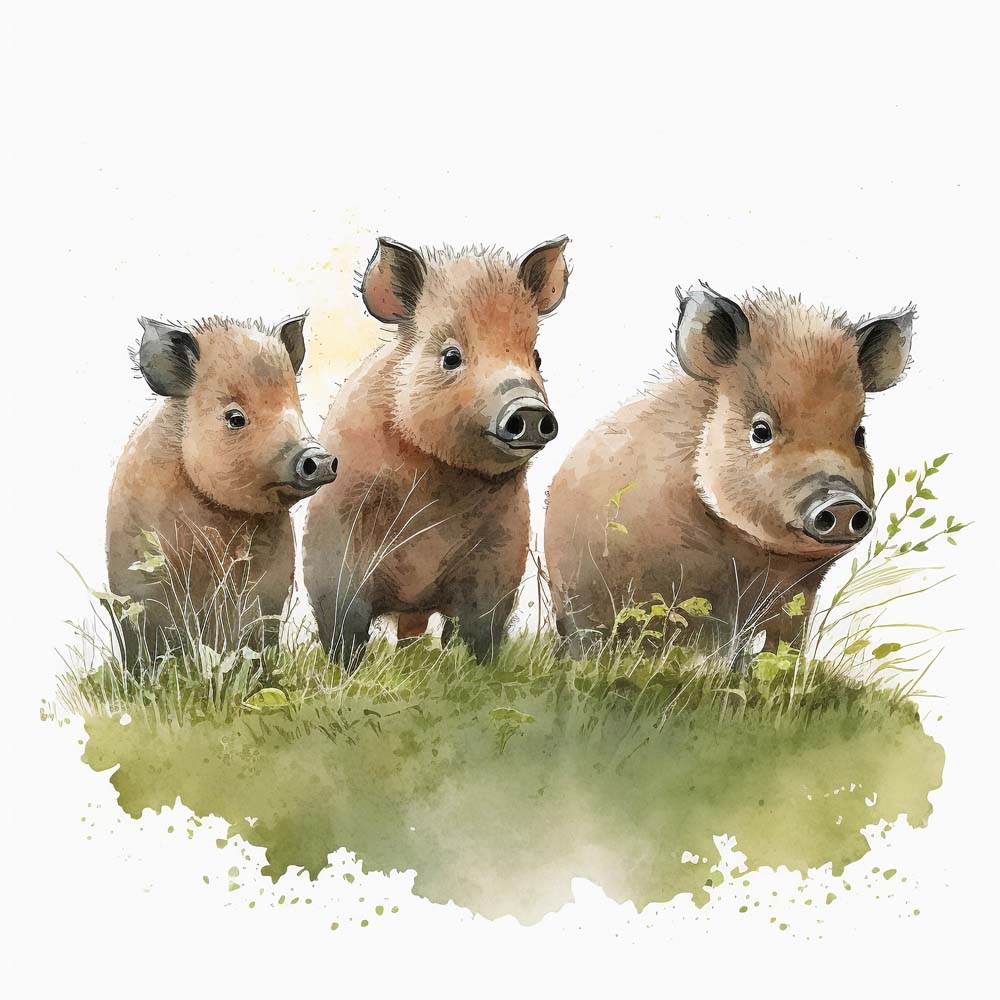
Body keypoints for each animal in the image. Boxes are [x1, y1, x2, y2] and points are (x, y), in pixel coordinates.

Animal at [302, 236, 570, 664]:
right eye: (451, 357)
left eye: (537, 357)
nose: (528, 409)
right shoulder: (332, 550)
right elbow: (345, 627)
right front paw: (344, 672)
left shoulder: (501, 557)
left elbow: (478, 633)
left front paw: (476, 672)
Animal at [544, 285, 914, 653]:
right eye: (760, 430)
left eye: (859, 434)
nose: (842, 502)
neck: (765, 558)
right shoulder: (706, 590)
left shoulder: (799, 594)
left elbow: (785, 649)